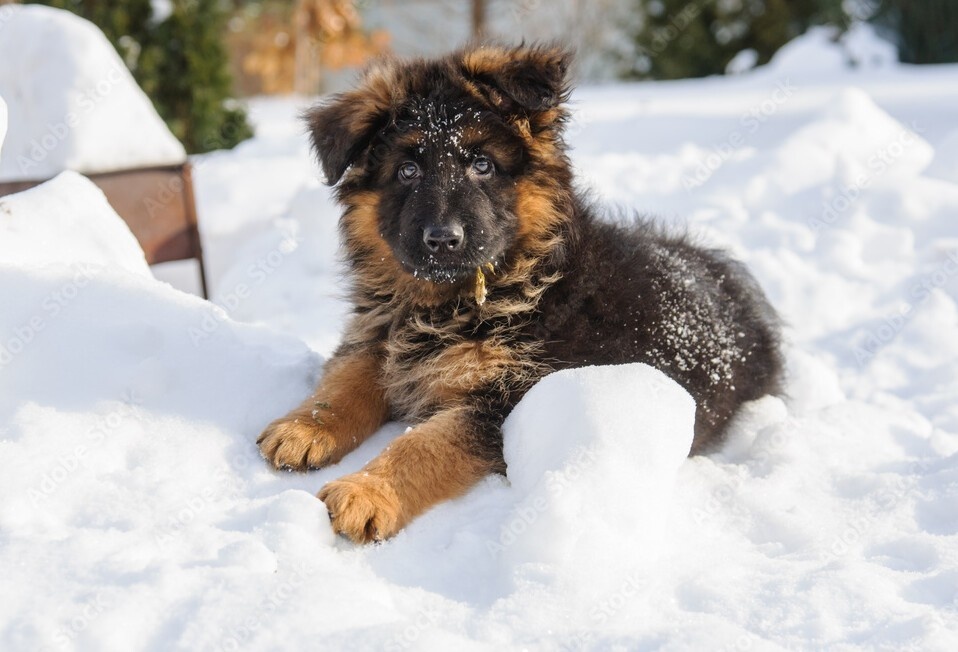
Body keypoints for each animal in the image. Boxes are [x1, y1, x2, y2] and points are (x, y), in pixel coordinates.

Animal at [258, 45, 784, 544]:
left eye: (482, 164)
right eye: (407, 170)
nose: (443, 239)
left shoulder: (509, 398)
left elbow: (426, 444)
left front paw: (368, 491)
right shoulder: (378, 335)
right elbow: (346, 379)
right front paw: (307, 426)